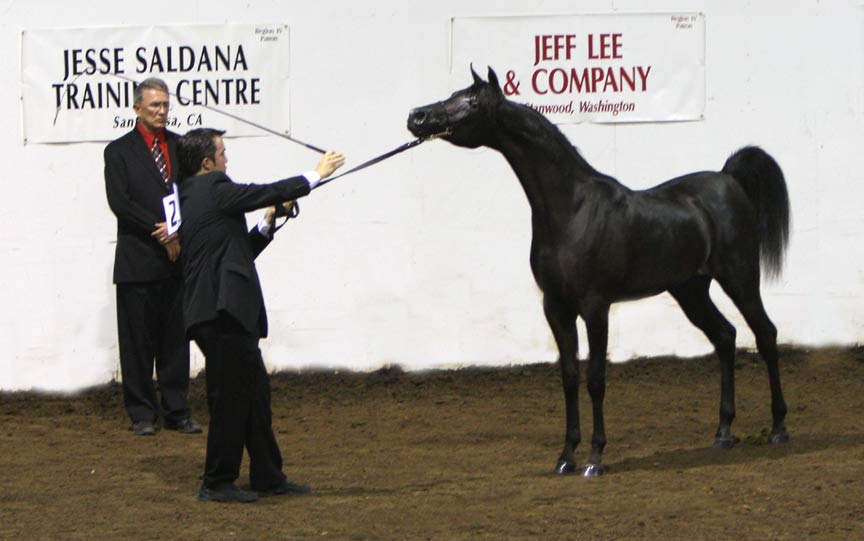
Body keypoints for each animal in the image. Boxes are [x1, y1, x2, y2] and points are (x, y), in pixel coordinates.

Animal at [406, 65, 788, 474]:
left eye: (473, 101)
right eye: (454, 94)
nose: (418, 116)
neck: (571, 211)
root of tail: (728, 178)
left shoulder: (595, 306)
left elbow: (596, 378)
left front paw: (594, 458)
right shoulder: (555, 307)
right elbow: (569, 376)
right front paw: (565, 457)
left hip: (739, 278)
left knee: (765, 334)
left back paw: (779, 428)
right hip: (690, 290)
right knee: (725, 337)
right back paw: (723, 433)